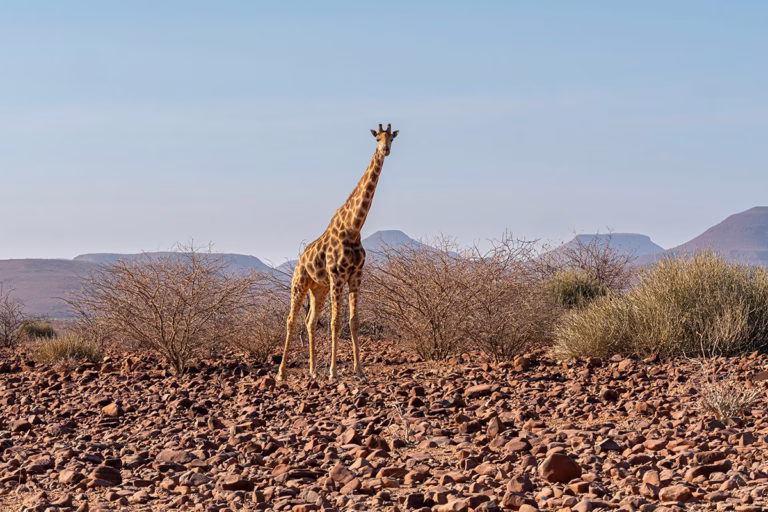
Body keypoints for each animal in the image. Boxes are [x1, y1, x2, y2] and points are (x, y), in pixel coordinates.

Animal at [277, 123, 399, 381]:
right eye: (377, 138)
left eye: (392, 138)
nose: (385, 150)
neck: (353, 228)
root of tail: (299, 260)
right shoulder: (337, 276)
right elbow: (335, 323)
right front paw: (334, 371)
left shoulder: (356, 276)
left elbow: (353, 321)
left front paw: (359, 370)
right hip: (300, 283)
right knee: (291, 320)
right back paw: (282, 373)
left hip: (318, 289)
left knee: (310, 321)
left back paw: (313, 371)